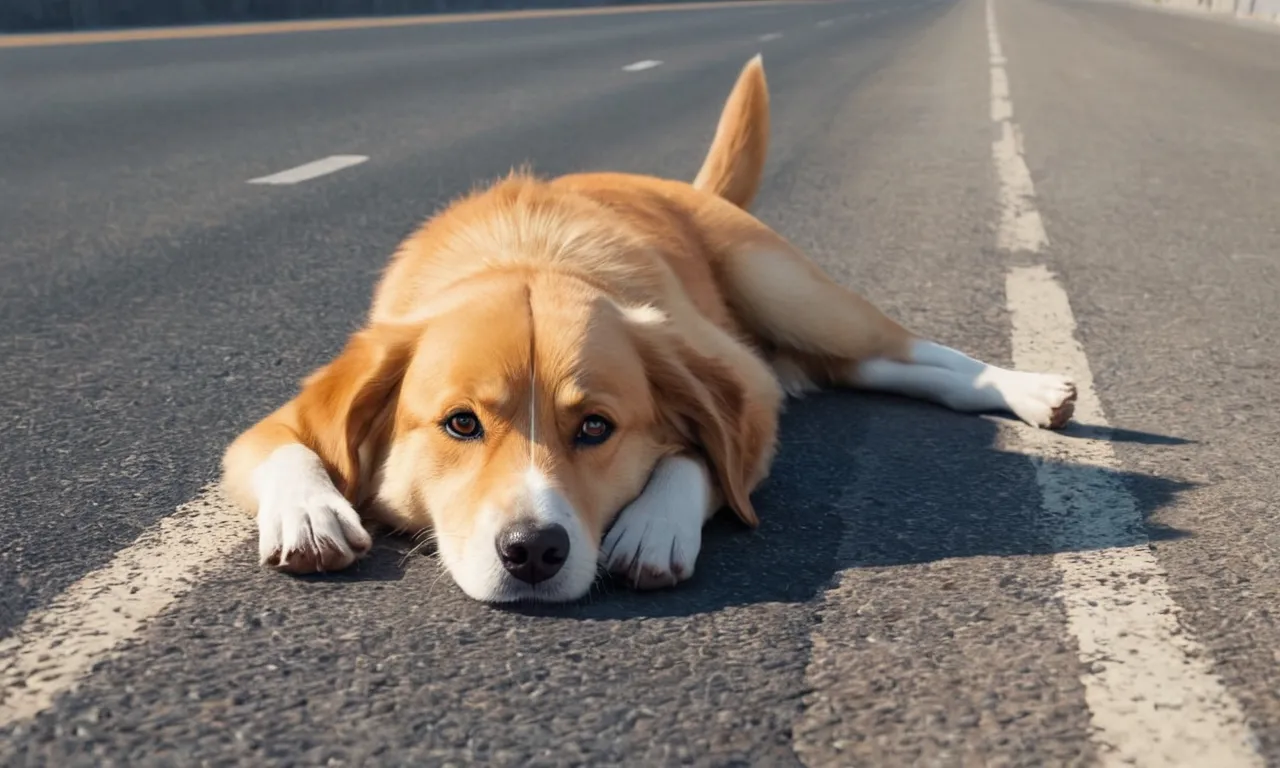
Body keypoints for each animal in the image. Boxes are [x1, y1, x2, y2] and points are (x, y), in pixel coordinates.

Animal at [217, 55, 1070, 606]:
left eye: (596, 427)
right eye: (460, 424)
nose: (534, 551)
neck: (522, 254)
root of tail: (684, 186)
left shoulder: (744, 389)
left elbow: (707, 454)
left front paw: (655, 527)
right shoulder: (287, 414)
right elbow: (285, 447)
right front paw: (311, 513)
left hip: (784, 288)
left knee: (910, 351)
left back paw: (1032, 389)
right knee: (865, 369)